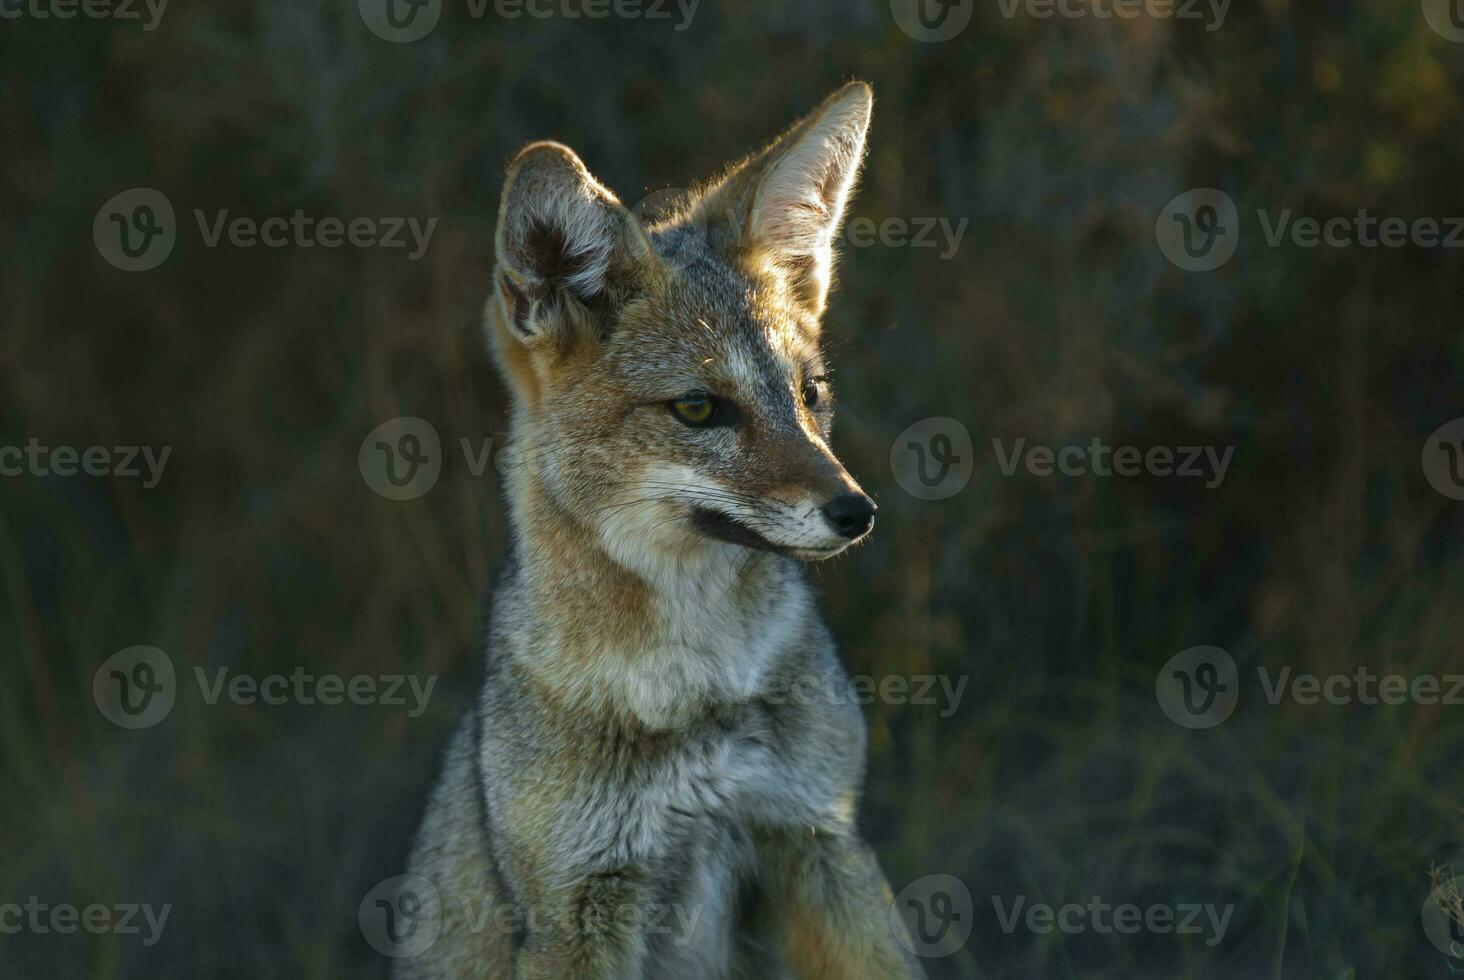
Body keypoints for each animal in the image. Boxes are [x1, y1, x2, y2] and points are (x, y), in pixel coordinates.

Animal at [398, 80, 925, 972]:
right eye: (700, 409)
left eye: (810, 395)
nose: (857, 512)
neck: (698, 687)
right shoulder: (576, 906)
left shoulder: (819, 837)